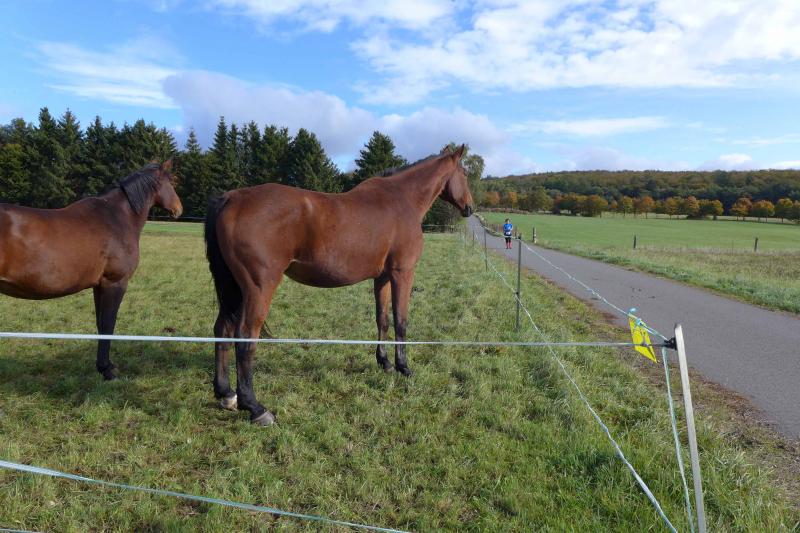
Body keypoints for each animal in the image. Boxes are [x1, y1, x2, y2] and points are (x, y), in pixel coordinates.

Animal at [0, 160, 183, 379]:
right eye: (172, 182)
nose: (179, 209)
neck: (118, 217)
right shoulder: (115, 283)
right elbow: (108, 324)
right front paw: (107, 369)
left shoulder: (99, 285)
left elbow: (100, 324)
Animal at [204, 145, 474, 426]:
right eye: (465, 173)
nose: (469, 207)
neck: (402, 200)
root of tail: (233, 198)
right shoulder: (403, 273)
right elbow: (401, 321)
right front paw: (404, 367)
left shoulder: (382, 278)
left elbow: (382, 319)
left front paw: (385, 363)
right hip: (259, 288)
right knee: (245, 337)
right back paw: (255, 407)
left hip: (235, 290)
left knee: (222, 329)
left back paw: (226, 393)